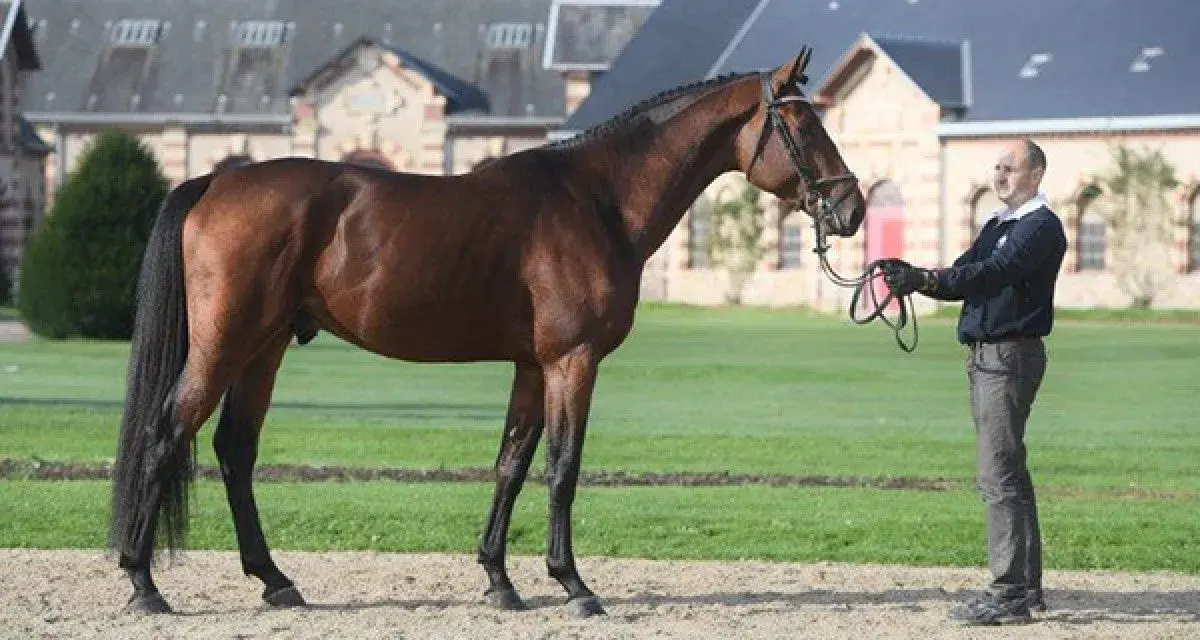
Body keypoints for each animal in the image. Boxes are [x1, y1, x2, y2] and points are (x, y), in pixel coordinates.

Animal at [109, 46, 866, 618]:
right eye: (803, 126)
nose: (852, 207)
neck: (596, 199)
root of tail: (214, 182)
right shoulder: (572, 361)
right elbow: (562, 467)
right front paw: (573, 585)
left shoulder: (533, 366)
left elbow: (512, 463)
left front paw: (500, 581)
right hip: (224, 345)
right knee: (165, 435)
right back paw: (144, 584)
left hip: (263, 349)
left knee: (234, 450)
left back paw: (275, 581)